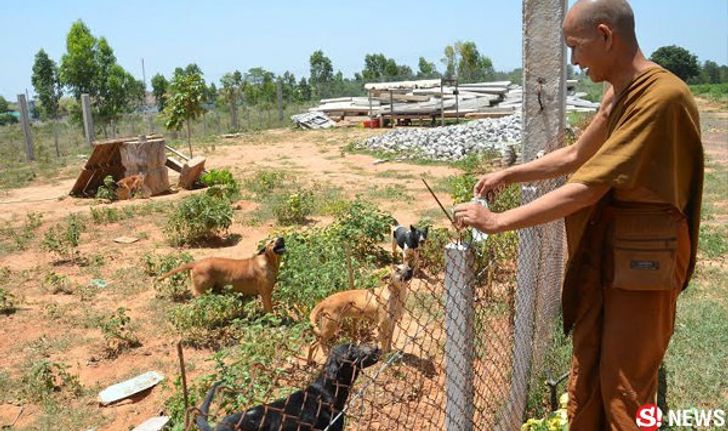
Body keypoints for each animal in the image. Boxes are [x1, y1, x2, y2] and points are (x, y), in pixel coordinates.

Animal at [158, 238, 286, 312]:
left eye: (278, 237)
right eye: (272, 241)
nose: (281, 238)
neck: (268, 260)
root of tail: (197, 263)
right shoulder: (265, 293)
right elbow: (269, 310)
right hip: (201, 292)